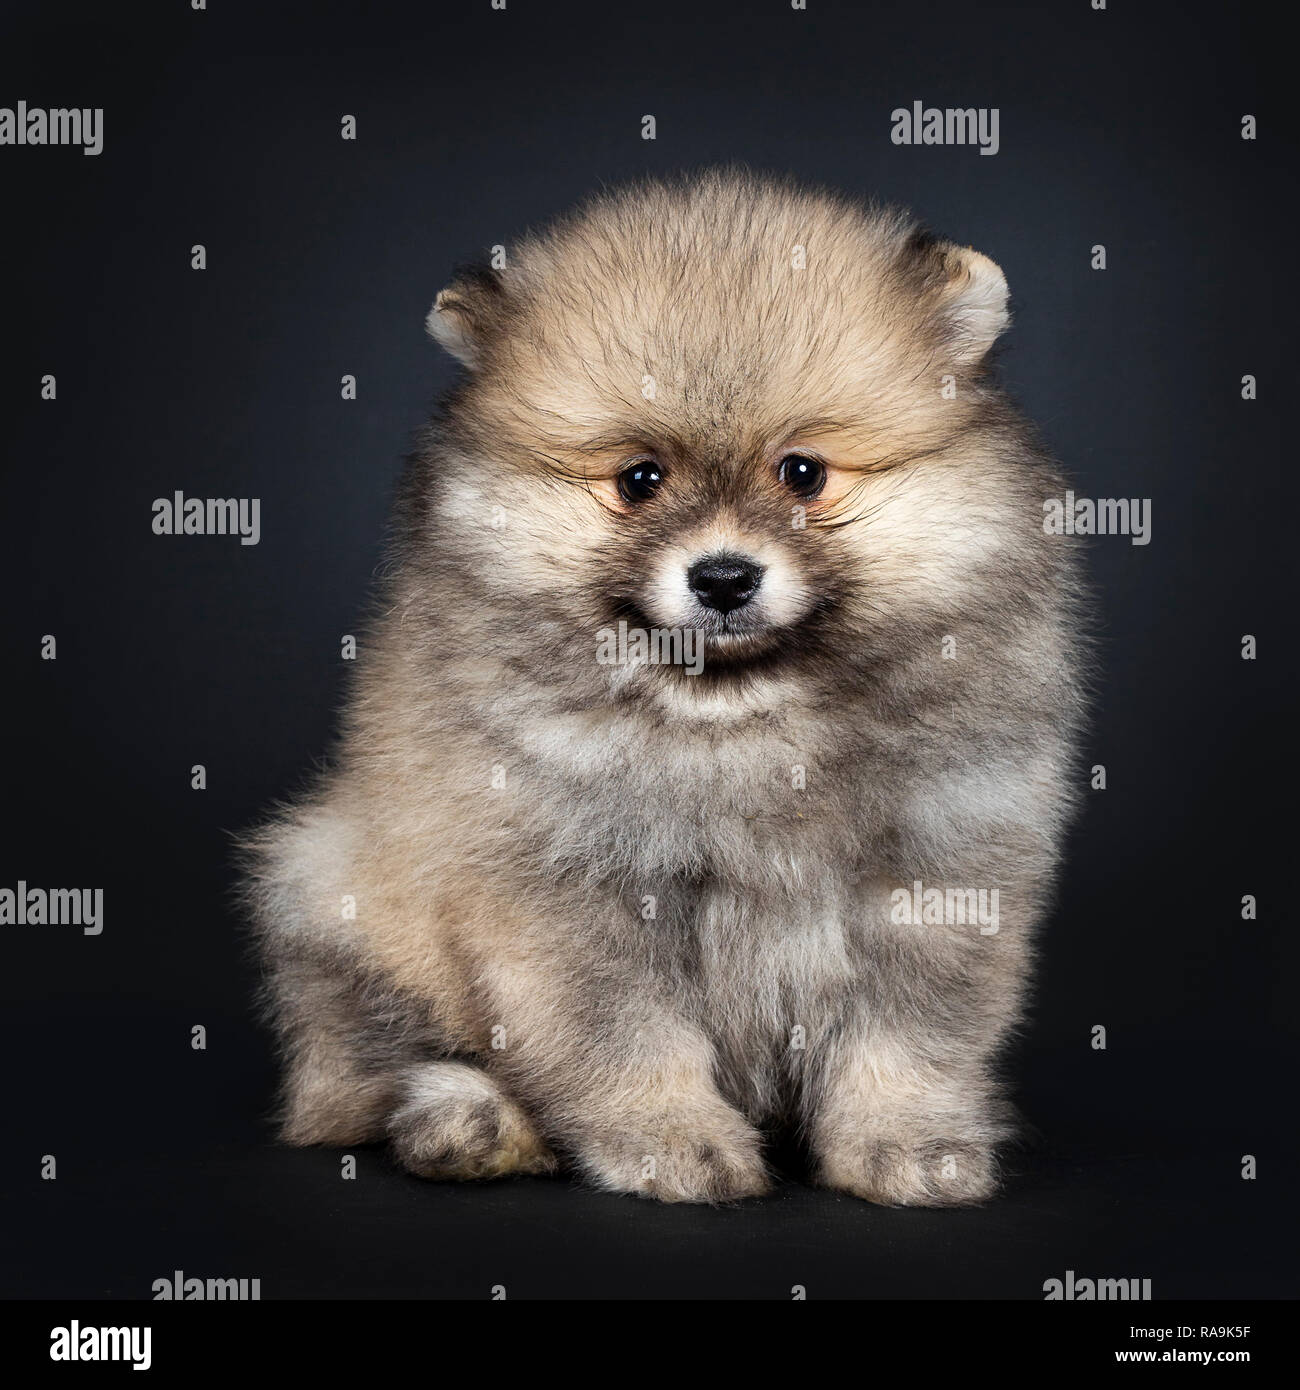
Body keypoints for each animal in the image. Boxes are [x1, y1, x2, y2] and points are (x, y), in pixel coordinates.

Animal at [244, 165, 1090, 1206]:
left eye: (802, 472)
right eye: (640, 479)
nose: (723, 576)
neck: (741, 713)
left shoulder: (941, 865)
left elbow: (908, 1035)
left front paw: (907, 1141)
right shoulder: (569, 892)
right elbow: (622, 1037)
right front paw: (670, 1140)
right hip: (336, 896)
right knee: (359, 1079)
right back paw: (473, 1121)